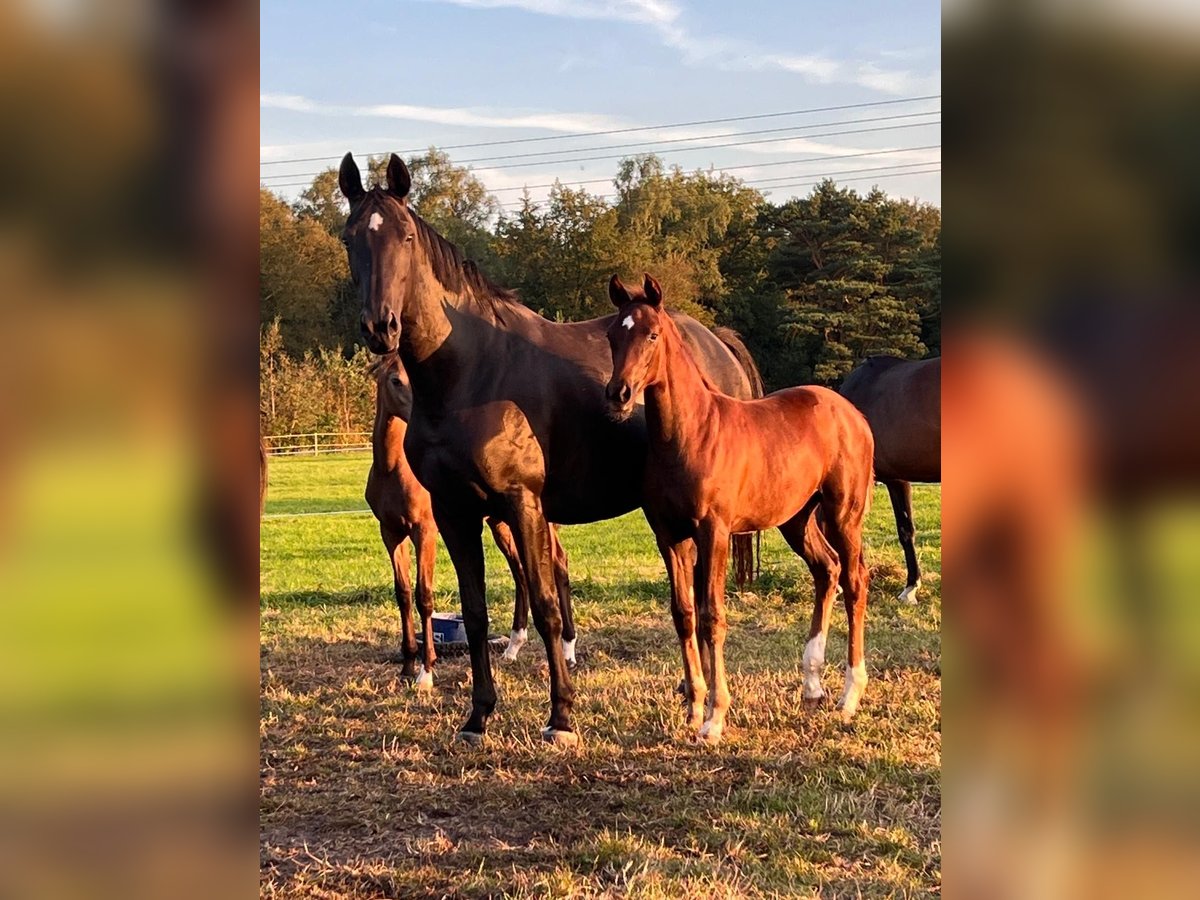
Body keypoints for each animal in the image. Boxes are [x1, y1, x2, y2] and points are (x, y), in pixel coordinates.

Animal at [362, 352, 573, 681]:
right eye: (395, 380)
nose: (425, 416)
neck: (393, 470)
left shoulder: (425, 531)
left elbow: (424, 595)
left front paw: (426, 671)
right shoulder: (391, 533)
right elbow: (403, 594)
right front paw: (407, 665)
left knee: (559, 563)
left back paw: (568, 650)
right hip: (500, 524)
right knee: (520, 571)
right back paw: (513, 647)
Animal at [604, 277, 878, 739]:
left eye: (652, 335)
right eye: (611, 335)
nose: (618, 395)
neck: (692, 434)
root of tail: (851, 412)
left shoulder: (713, 531)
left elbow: (713, 615)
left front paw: (715, 717)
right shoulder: (670, 535)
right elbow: (684, 614)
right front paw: (693, 707)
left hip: (844, 513)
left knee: (855, 580)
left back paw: (849, 696)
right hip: (797, 519)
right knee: (827, 570)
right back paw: (811, 686)